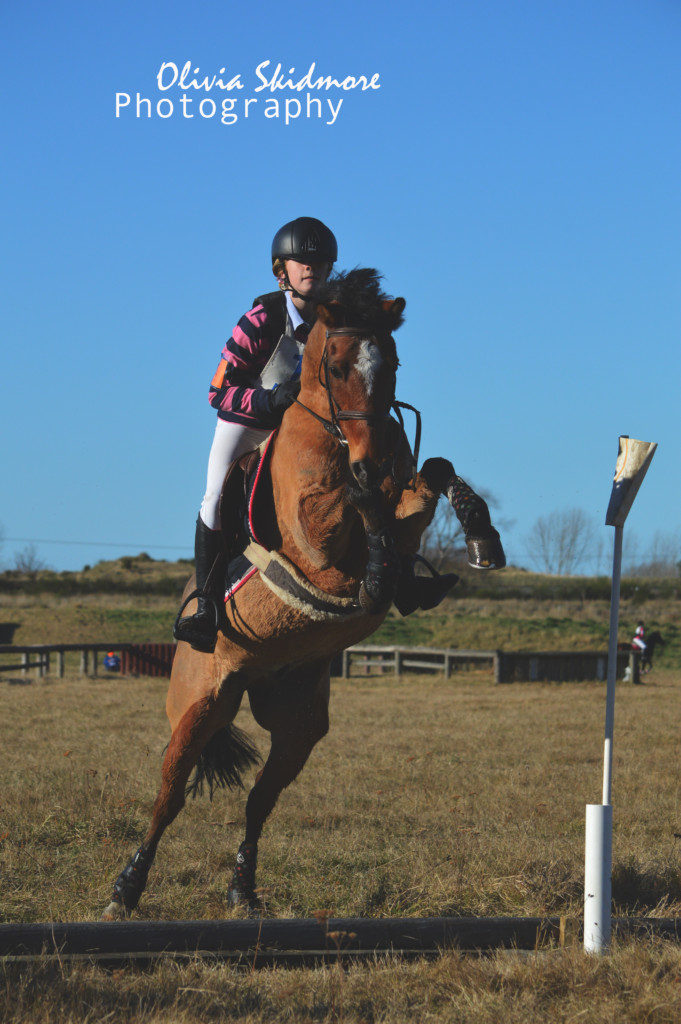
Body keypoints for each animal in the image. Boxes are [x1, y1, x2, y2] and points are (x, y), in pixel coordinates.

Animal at [99, 268, 499, 917]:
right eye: (335, 367)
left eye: (392, 363)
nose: (370, 460)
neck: (335, 435)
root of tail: (247, 677)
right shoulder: (314, 546)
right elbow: (354, 511)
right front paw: (378, 563)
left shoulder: (404, 502)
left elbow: (432, 472)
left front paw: (479, 536)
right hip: (198, 703)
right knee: (169, 796)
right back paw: (125, 890)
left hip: (298, 722)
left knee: (259, 801)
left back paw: (243, 890)